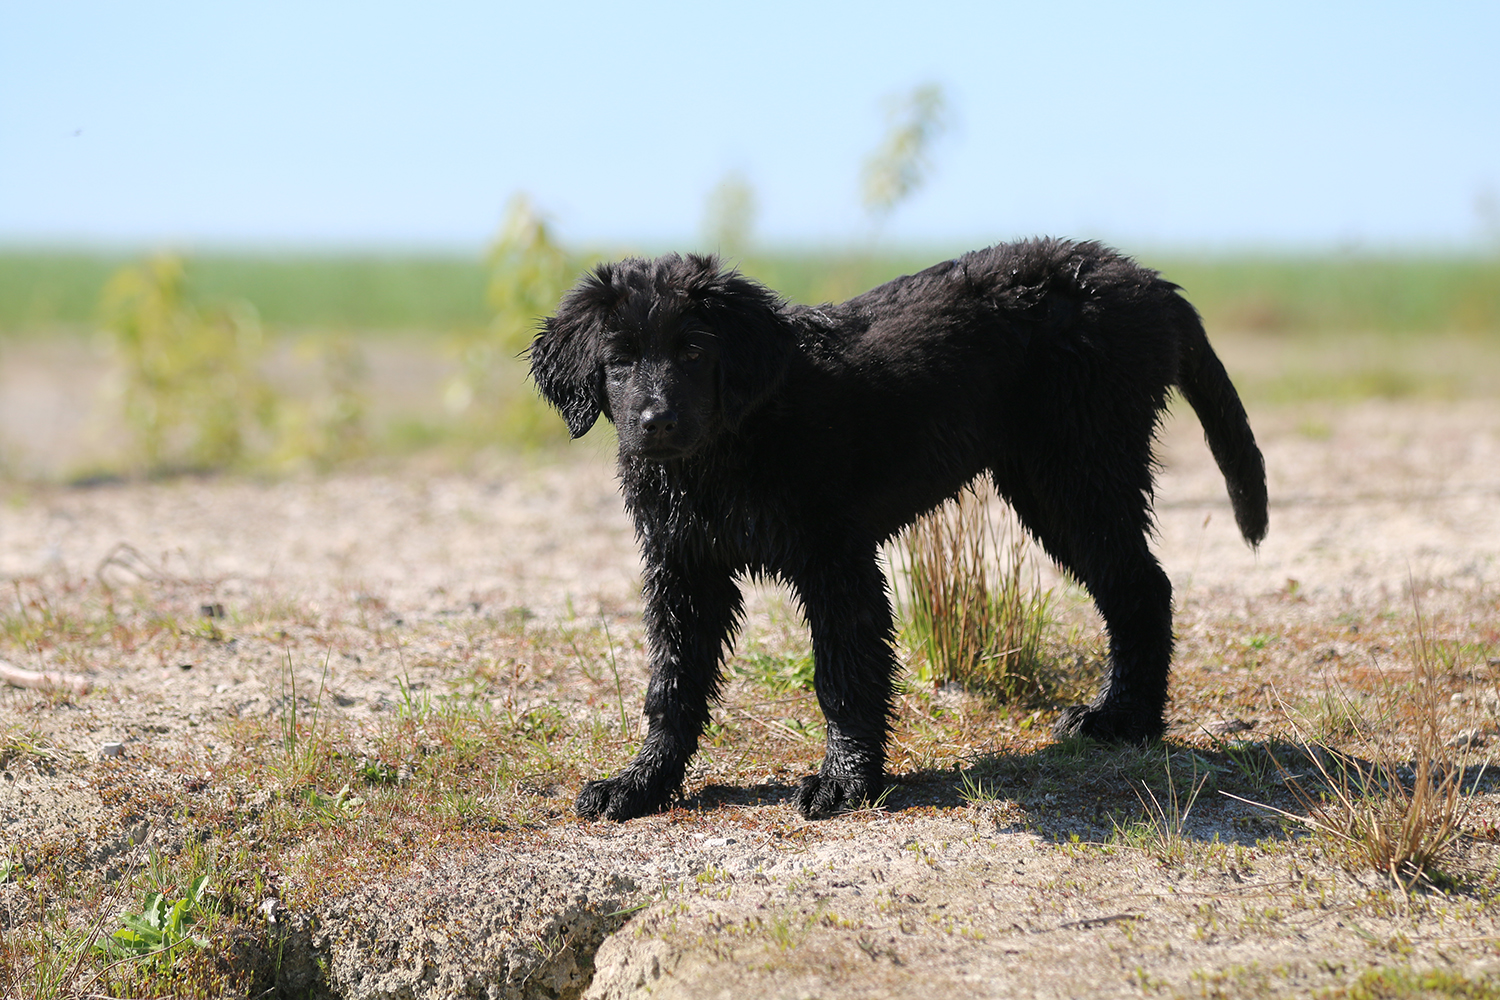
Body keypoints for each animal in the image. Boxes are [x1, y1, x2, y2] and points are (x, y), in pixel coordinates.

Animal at [530, 238, 1267, 820]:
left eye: (691, 351)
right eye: (619, 360)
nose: (655, 421)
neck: (726, 448)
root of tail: (1144, 278)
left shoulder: (835, 557)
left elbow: (844, 675)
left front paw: (845, 783)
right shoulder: (683, 566)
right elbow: (672, 682)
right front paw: (640, 784)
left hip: (1080, 467)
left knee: (1143, 587)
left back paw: (1126, 720)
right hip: (1054, 481)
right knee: (1131, 586)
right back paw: (1122, 716)